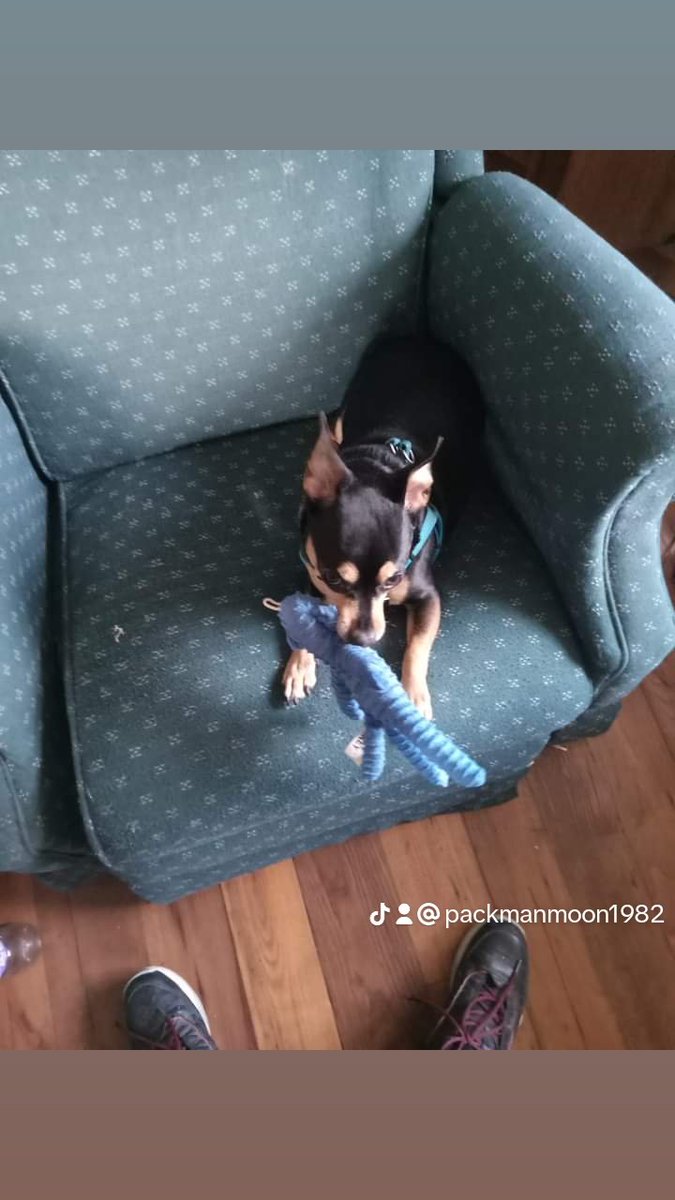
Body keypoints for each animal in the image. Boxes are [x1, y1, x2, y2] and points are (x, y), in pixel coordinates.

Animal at [281, 333, 480, 715]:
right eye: (332, 579)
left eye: (395, 579)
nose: (365, 639)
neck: (375, 466)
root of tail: (418, 340)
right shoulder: (309, 572)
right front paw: (299, 665)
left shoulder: (427, 597)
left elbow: (416, 647)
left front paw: (413, 695)